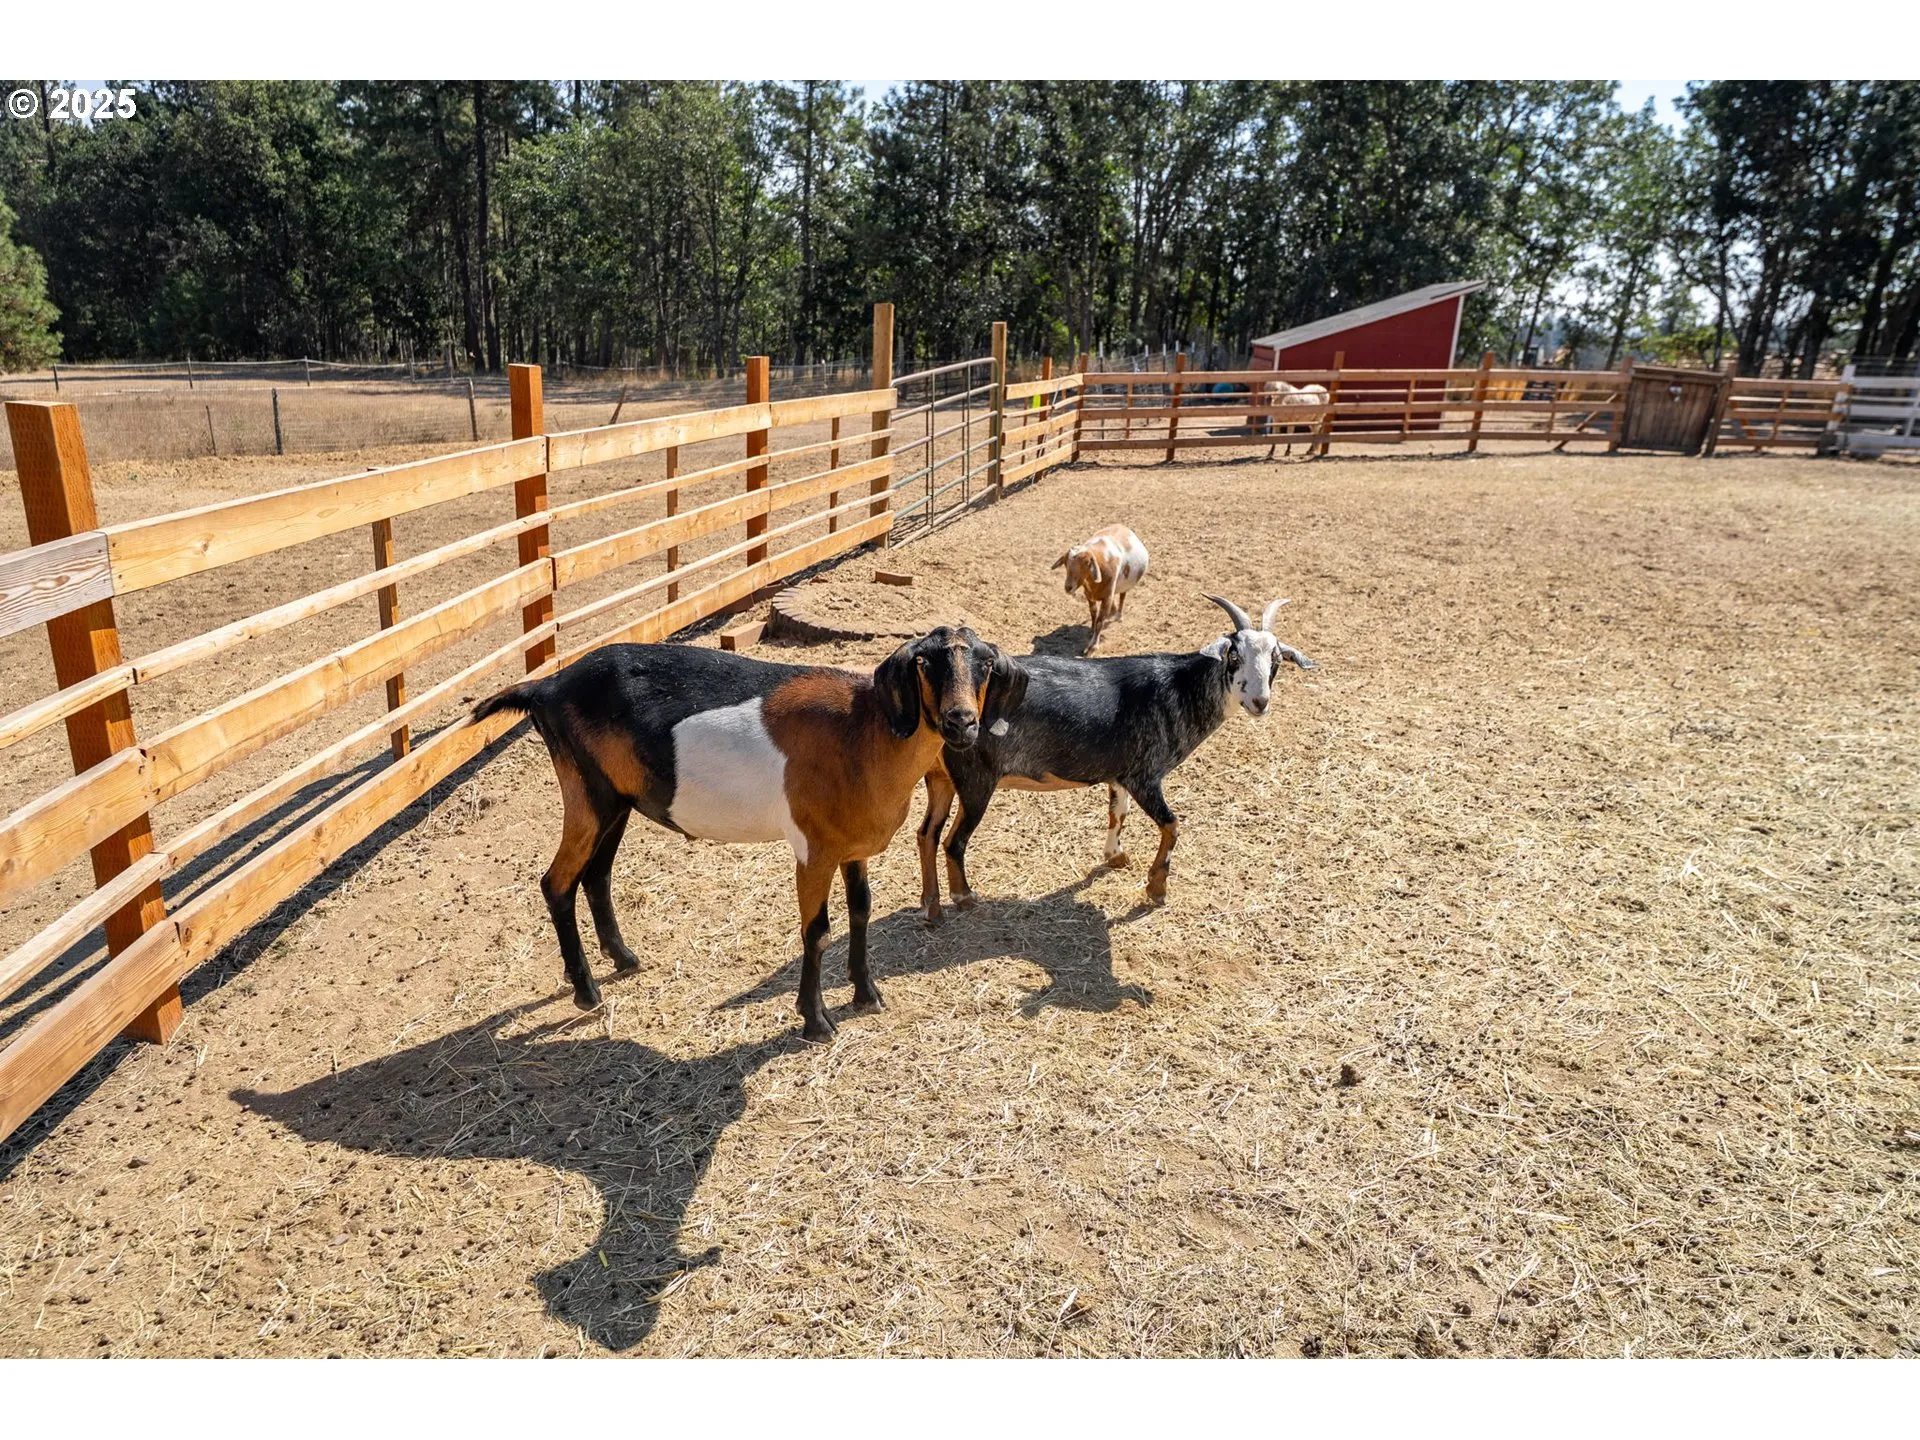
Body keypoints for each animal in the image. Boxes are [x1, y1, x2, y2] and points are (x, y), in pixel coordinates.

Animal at [474, 628, 1028, 1040]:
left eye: (984, 666)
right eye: (926, 664)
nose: (961, 722)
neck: (862, 734)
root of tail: (547, 687)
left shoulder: (852, 846)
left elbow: (861, 911)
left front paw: (866, 994)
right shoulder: (813, 849)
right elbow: (818, 931)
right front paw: (815, 1020)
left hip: (617, 799)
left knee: (596, 875)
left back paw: (624, 959)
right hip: (587, 792)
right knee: (557, 882)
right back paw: (587, 991)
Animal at [917, 595, 1314, 915]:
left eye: (1277, 659)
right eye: (1234, 654)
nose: (1260, 702)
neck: (1179, 689)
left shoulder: (1119, 772)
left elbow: (1116, 812)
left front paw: (1116, 857)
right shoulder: (1145, 775)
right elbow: (1172, 825)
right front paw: (1156, 889)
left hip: (942, 779)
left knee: (927, 834)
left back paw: (930, 907)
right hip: (976, 779)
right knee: (954, 841)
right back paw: (964, 898)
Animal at [1051, 524, 1150, 655]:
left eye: (1086, 563)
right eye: (1066, 563)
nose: (1068, 587)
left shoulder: (1107, 598)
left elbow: (1099, 621)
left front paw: (1092, 646)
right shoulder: (1089, 595)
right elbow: (1093, 613)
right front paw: (1091, 629)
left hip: (1124, 585)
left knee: (1122, 597)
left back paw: (1119, 615)